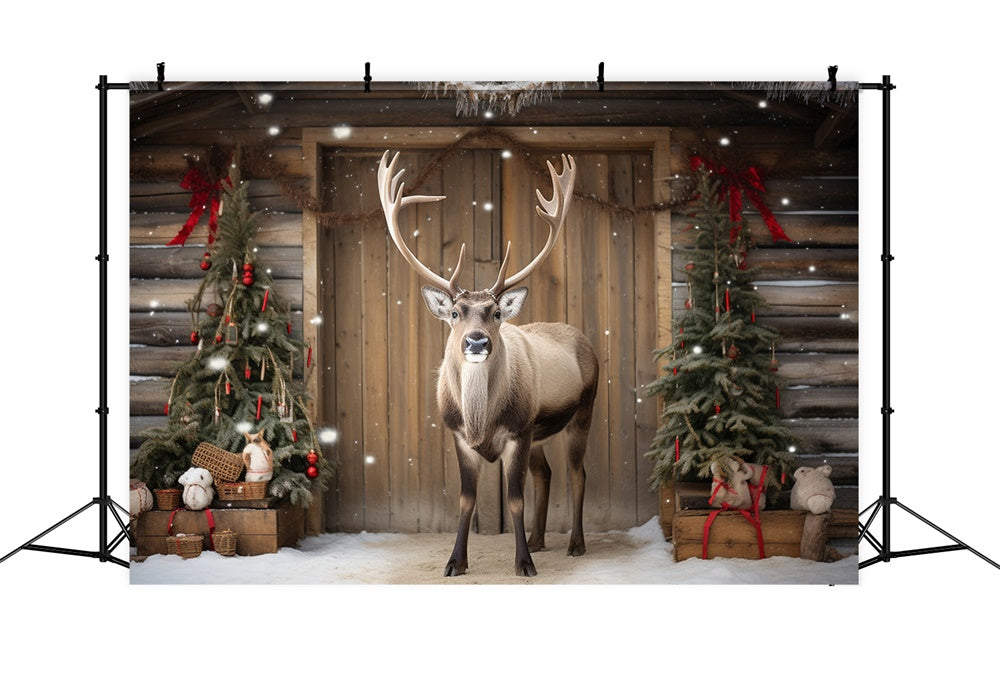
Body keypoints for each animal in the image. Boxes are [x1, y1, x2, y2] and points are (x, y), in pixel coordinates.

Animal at [376, 150, 598, 577]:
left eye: (495, 312)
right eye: (455, 313)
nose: (476, 340)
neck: (481, 418)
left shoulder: (518, 430)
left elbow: (514, 498)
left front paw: (524, 564)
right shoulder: (459, 435)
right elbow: (466, 499)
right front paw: (455, 562)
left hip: (582, 411)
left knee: (577, 473)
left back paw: (575, 544)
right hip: (541, 431)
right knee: (546, 473)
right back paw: (539, 539)